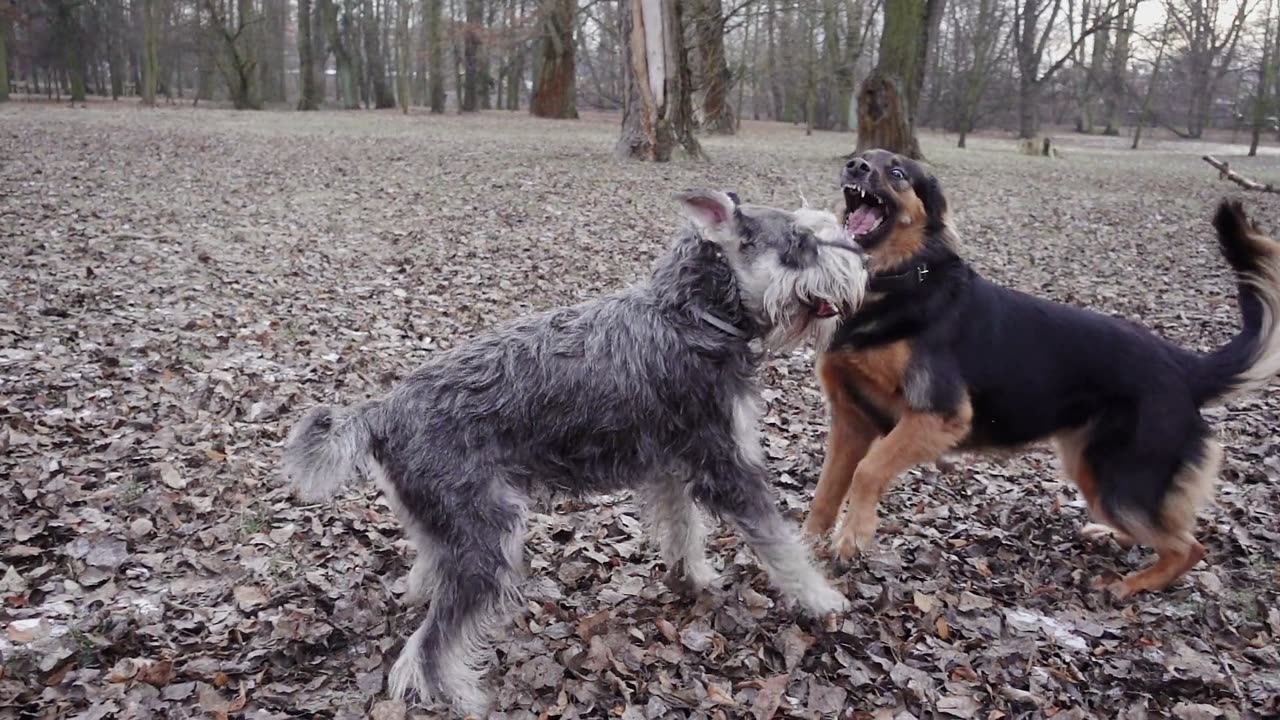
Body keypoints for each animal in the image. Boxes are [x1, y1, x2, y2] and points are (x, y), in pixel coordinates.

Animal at [281, 188, 870, 712]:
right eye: (800, 242)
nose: (862, 260)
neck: (691, 316)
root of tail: (382, 411)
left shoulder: (672, 468)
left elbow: (684, 529)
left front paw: (693, 578)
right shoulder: (727, 466)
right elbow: (781, 544)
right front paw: (822, 600)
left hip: (447, 521)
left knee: (427, 571)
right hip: (488, 537)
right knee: (429, 648)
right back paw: (462, 697)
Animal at [808, 148, 1280, 597]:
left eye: (898, 173)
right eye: (863, 156)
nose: (855, 166)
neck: (902, 281)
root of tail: (1182, 365)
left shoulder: (939, 415)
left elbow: (868, 471)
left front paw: (852, 537)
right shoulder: (852, 422)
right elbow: (826, 490)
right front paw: (806, 549)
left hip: (1122, 483)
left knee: (1189, 546)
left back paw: (1133, 585)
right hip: (1091, 469)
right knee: (1159, 533)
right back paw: (1111, 538)